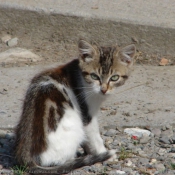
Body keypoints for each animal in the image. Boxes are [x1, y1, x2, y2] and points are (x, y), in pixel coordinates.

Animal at [15, 39, 136, 174]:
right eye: (94, 76)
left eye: (114, 77)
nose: (103, 90)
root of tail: (27, 158)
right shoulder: (86, 114)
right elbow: (94, 137)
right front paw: (103, 153)